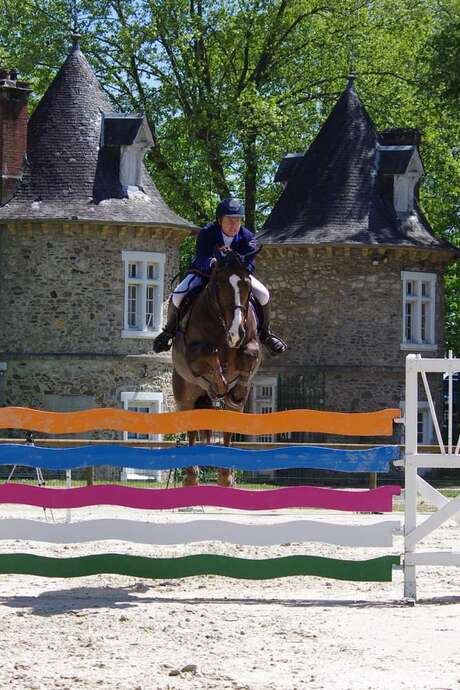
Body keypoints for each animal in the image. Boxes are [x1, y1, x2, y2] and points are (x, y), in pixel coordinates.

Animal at [172, 249, 262, 486]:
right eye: (220, 283)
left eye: (247, 284)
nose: (236, 333)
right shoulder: (193, 355)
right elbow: (211, 354)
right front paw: (219, 385)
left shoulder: (252, 345)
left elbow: (249, 355)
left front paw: (236, 388)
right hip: (185, 397)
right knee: (191, 430)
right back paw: (191, 475)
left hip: (232, 410)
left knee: (228, 427)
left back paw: (225, 475)